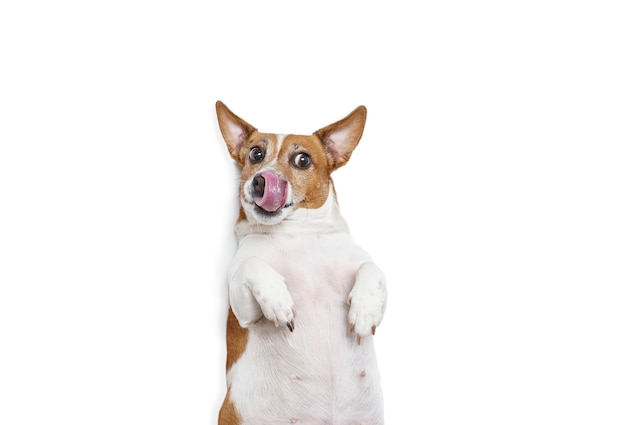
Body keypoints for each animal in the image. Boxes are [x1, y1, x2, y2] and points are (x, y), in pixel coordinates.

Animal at [216, 102, 386, 424]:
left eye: (302, 160)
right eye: (255, 154)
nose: (262, 180)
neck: (297, 232)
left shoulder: (363, 264)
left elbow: (372, 268)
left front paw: (365, 311)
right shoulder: (243, 310)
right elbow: (252, 264)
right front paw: (278, 301)